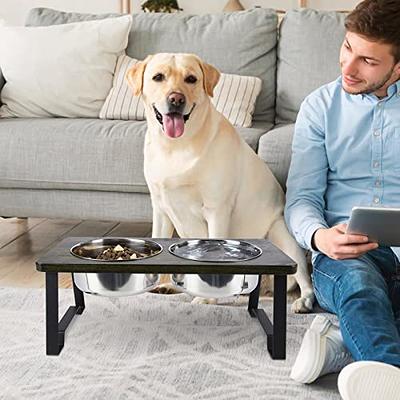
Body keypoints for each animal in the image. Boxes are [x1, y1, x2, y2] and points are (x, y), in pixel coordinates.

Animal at [126, 54, 314, 312]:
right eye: (158, 77)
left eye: (191, 79)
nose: (176, 99)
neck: (176, 146)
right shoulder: (161, 209)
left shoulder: (217, 210)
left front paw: (208, 299)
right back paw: (173, 286)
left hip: (282, 235)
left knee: (305, 279)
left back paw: (304, 301)